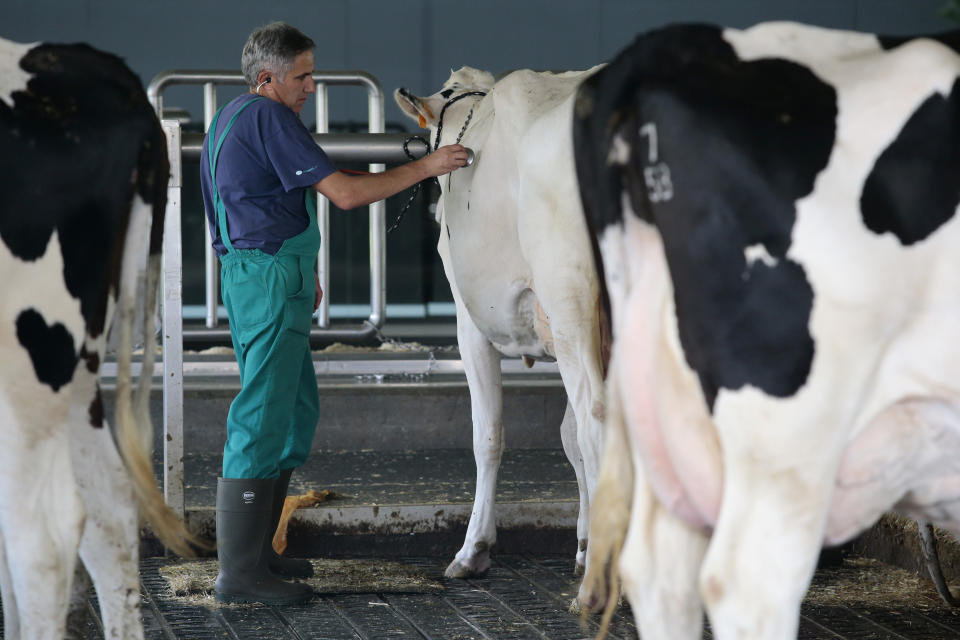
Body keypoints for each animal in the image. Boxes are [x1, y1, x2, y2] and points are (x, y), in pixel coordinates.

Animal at [398, 66, 608, 580]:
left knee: (597, 419)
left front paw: (473, 547)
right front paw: (582, 542)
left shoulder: (469, 323)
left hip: (571, 302)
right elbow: (566, 436)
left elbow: (487, 434)